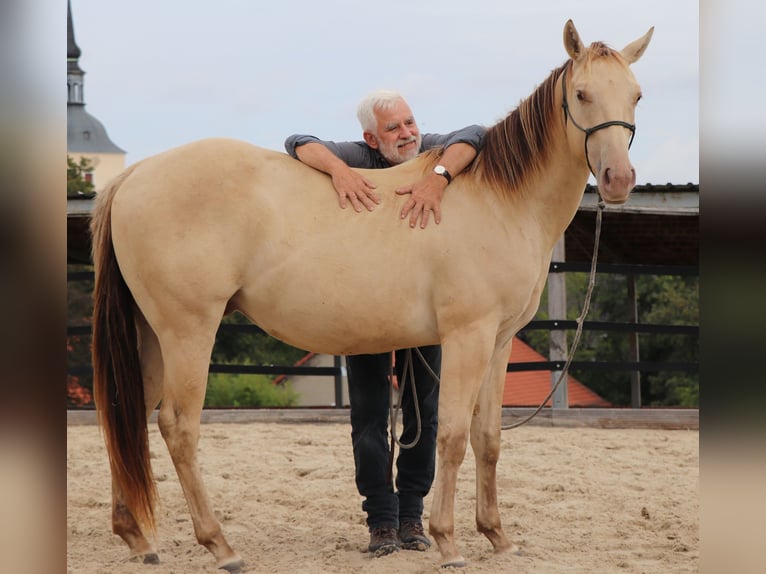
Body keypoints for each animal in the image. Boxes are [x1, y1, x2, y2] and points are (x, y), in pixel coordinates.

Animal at [90, 20, 653, 571]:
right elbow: (451, 437)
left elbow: (487, 440)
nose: (619, 179)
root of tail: (135, 174)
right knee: (178, 427)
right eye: (581, 93)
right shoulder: (467, 337)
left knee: (127, 412)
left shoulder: (498, 343)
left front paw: (498, 538)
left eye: (637, 95)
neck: (499, 200)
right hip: (188, 330)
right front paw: (448, 542)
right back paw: (221, 547)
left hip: (151, 334)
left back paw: (137, 539)